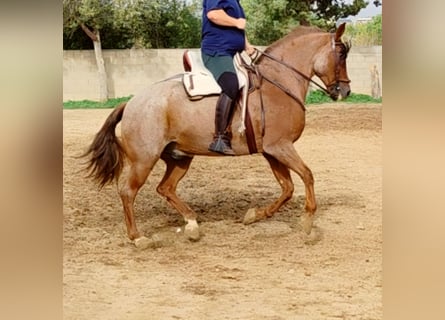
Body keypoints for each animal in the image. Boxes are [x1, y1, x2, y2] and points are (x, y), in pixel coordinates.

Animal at [83, 23, 350, 248]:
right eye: (341, 55)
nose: (345, 90)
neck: (278, 84)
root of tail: (131, 102)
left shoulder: (272, 151)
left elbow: (287, 188)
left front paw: (254, 216)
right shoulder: (281, 147)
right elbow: (307, 176)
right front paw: (307, 223)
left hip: (179, 157)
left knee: (165, 188)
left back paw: (192, 224)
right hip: (144, 160)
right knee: (128, 192)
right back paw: (138, 237)